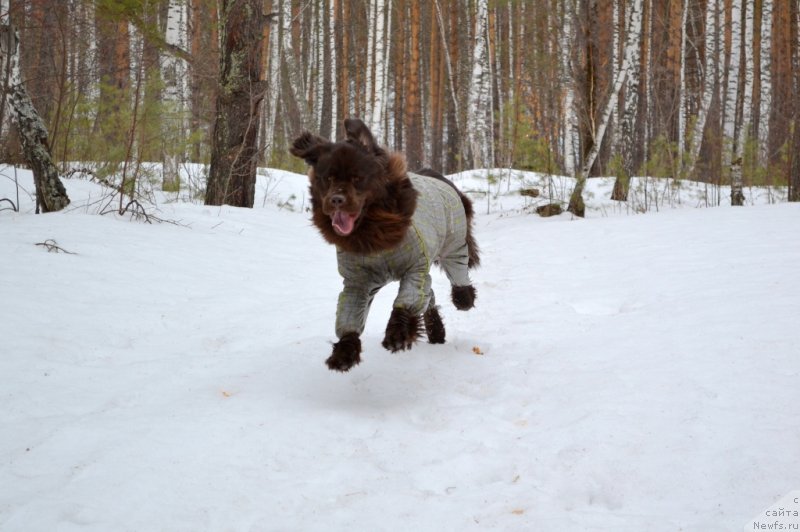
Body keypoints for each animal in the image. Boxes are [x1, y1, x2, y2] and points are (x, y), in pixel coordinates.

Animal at [290, 118, 478, 372]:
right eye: (327, 178)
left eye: (357, 178)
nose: (336, 199)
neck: (372, 236)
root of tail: (438, 176)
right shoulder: (357, 282)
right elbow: (348, 317)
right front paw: (344, 353)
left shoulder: (415, 268)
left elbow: (406, 301)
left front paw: (397, 334)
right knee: (430, 296)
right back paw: (436, 331)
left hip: (454, 245)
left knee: (457, 274)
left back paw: (463, 299)